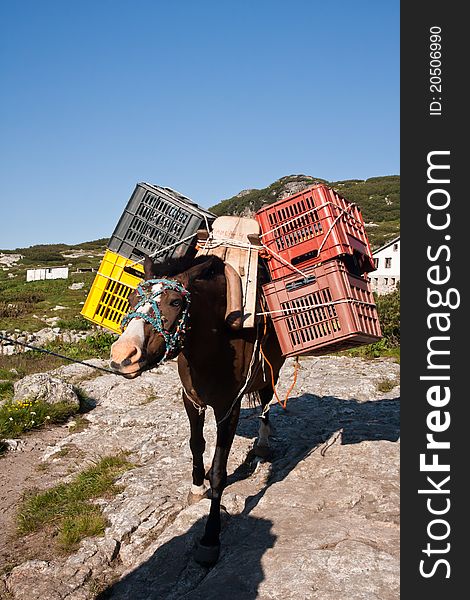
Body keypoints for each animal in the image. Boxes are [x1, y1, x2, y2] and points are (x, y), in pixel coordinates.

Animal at [109, 254, 284, 568]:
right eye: (131, 297)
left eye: (176, 302)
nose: (122, 357)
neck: (213, 344)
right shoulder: (191, 400)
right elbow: (196, 444)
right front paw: (195, 488)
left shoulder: (229, 409)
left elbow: (219, 471)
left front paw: (210, 538)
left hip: (270, 372)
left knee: (266, 403)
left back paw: (263, 445)